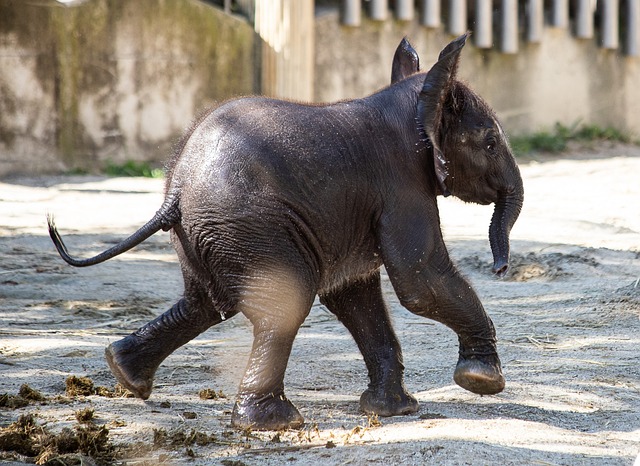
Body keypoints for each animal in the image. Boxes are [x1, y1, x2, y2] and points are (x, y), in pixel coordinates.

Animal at [47, 34, 524, 432]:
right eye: (490, 144)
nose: (501, 269)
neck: (416, 101)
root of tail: (176, 190)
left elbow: (355, 293)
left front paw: (394, 411)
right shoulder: (401, 184)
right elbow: (418, 280)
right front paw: (482, 381)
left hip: (209, 233)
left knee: (204, 303)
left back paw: (125, 374)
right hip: (247, 225)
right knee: (283, 303)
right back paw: (274, 423)